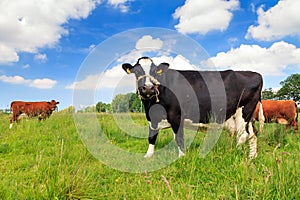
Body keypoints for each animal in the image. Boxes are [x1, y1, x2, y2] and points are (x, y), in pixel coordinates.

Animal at [122, 56, 262, 159]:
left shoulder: (176, 116)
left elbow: (179, 138)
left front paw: (181, 157)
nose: (148, 88)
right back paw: (252, 157)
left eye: (155, 72)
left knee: (243, 135)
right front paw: (148, 155)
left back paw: (235, 153)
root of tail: (256, 74)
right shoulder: (152, 118)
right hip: (246, 117)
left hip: (244, 112)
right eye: (137, 71)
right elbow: (151, 137)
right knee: (252, 134)